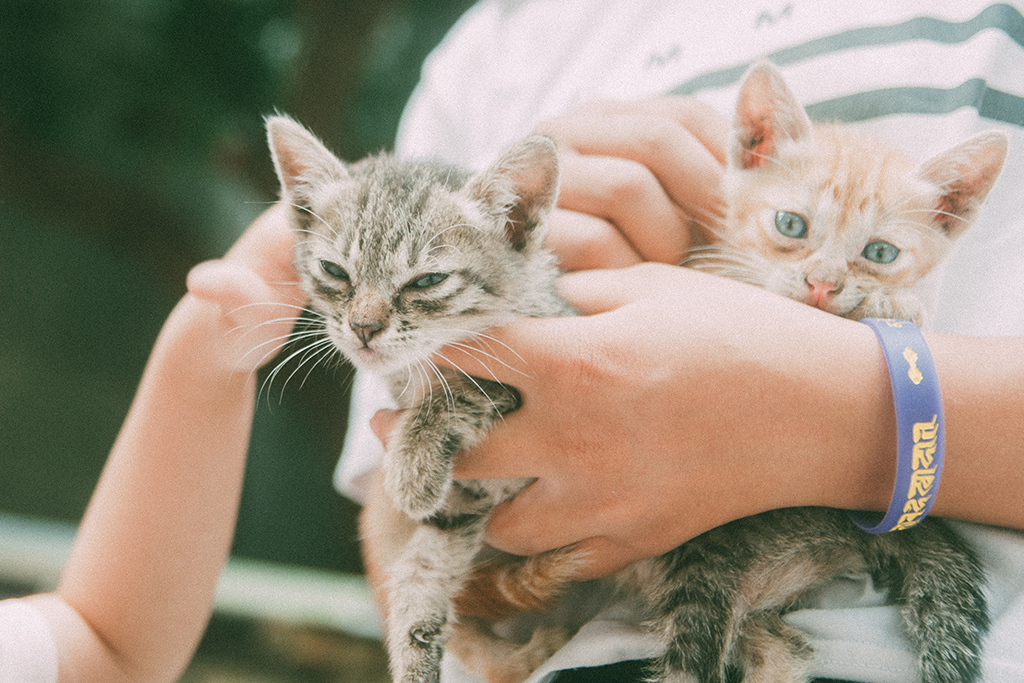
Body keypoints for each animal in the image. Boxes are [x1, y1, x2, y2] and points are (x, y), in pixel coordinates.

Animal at [268, 54, 1003, 683]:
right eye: (334, 272)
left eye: (426, 281)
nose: (363, 329)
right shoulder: (463, 510)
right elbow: (422, 574)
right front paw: (415, 646)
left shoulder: (529, 373)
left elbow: (469, 390)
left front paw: (414, 456)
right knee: (783, 644)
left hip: (704, 557)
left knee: (693, 657)